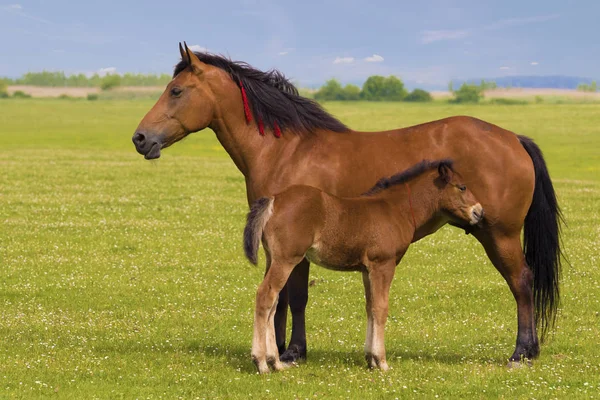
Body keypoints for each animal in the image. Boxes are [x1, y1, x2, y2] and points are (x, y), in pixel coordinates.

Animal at [243, 161, 482, 374]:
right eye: (462, 187)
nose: (479, 212)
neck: (396, 210)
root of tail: (274, 200)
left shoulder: (367, 270)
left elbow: (370, 307)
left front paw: (370, 359)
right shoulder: (383, 265)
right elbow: (381, 308)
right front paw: (382, 361)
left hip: (273, 259)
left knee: (273, 302)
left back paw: (275, 362)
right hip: (287, 259)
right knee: (265, 296)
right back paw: (261, 362)